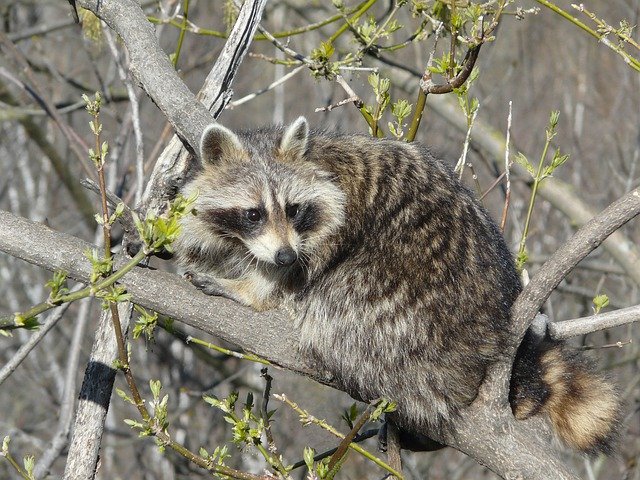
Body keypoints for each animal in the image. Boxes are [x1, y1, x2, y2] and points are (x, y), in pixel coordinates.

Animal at [174, 118, 620, 456]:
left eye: (294, 209)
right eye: (253, 213)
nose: (283, 255)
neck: (320, 160)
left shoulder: (334, 228)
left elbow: (293, 278)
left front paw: (250, 288)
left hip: (407, 317)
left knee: (337, 306)